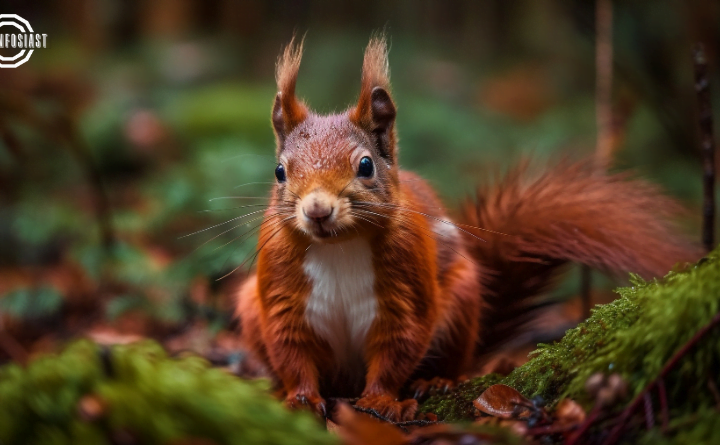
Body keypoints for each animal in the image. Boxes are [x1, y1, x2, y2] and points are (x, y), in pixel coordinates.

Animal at [236, 35, 696, 420]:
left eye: (365, 166)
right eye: (279, 171)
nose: (317, 210)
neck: (339, 247)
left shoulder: (407, 287)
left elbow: (398, 347)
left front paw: (382, 400)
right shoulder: (281, 295)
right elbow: (292, 351)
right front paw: (299, 398)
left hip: (460, 302)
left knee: (449, 361)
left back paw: (433, 381)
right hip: (250, 306)